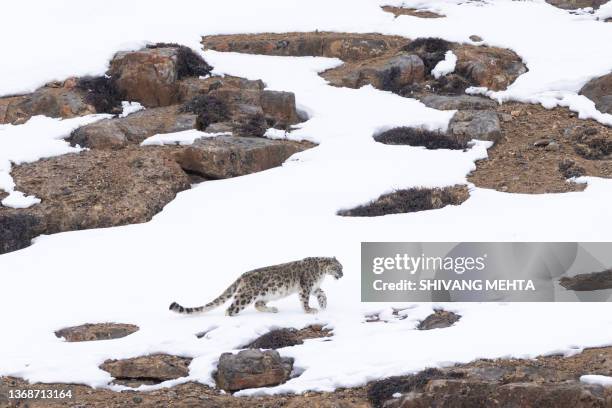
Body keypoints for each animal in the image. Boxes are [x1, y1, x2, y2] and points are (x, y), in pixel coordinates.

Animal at [170, 256, 342, 318]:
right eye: (338, 268)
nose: (342, 274)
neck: (321, 273)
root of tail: (242, 276)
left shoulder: (314, 287)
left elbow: (322, 292)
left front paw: (323, 304)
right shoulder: (306, 287)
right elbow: (305, 300)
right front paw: (310, 310)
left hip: (266, 293)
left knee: (258, 304)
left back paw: (272, 309)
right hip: (246, 295)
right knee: (231, 308)